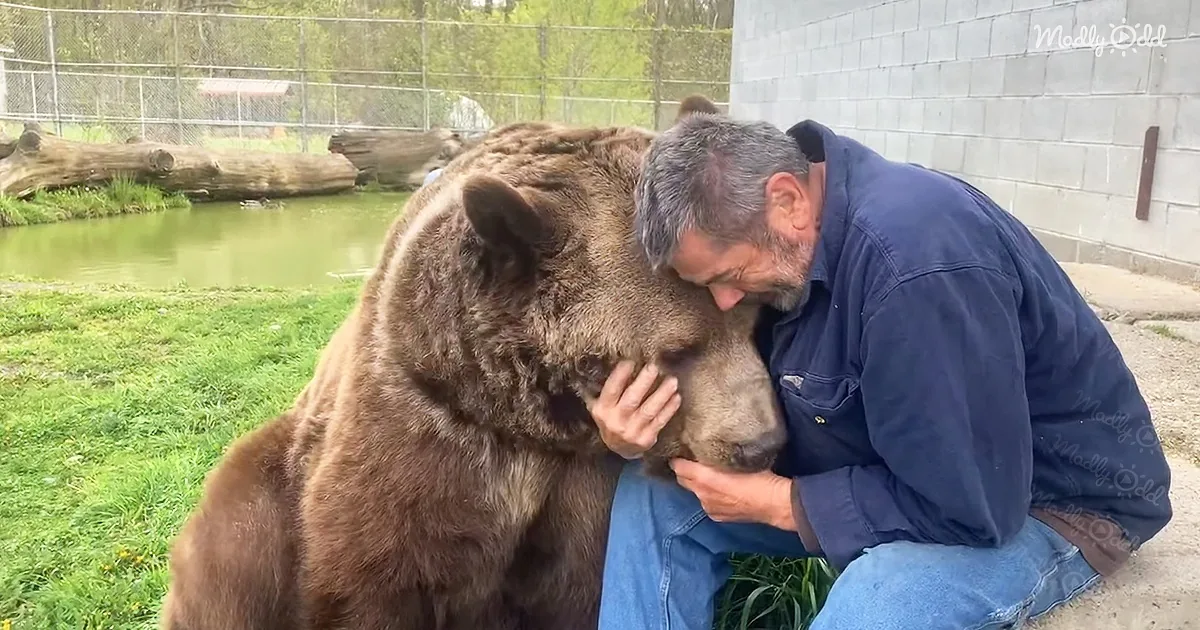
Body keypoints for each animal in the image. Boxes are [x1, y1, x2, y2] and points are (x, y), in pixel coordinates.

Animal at [158, 95, 787, 630]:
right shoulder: (423, 427)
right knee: (233, 549)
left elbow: (578, 585)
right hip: (271, 485)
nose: (761, 444)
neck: (524, 414)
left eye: (753, 317)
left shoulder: (581, 484)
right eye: (677, 349)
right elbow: (373, 577)